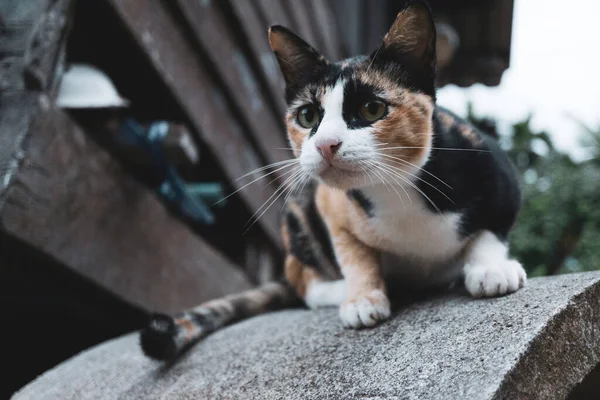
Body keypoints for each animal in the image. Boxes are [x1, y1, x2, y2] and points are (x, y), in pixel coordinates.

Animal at [139, 0, 524, 360]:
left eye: (372, 109)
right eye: (308, 116)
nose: (325, 143)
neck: (395, 189)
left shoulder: (497, 169)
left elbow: (492, 229)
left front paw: (491, 269)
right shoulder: (329, 203)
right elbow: (353, 253)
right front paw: (363, 296)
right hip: (298, 206)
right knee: (301, 279)